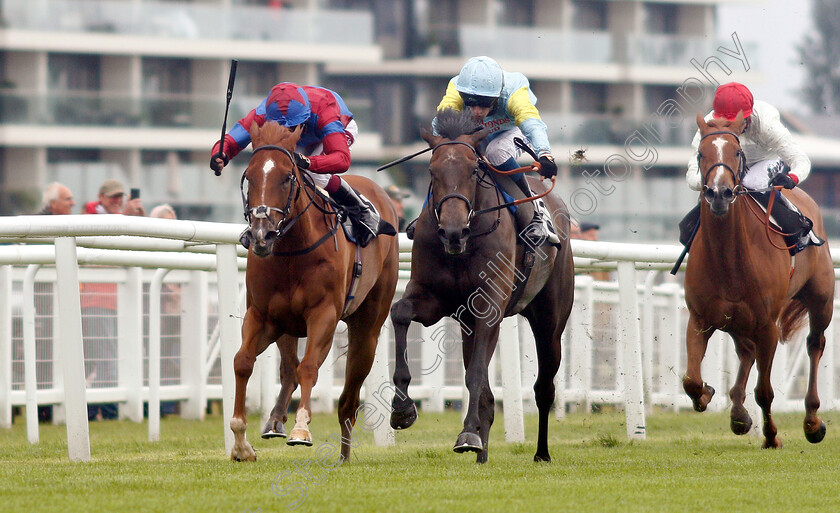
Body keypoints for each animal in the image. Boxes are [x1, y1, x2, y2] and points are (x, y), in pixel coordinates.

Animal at [228, 122, 398, 462]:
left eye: (287, 177)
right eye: (249, 176)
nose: (262, 235)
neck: (293, 251)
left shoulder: (324, 315)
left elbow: (308, 367)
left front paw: (301, 429)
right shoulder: (263, 316)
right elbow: (243, 361)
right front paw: (241, 442)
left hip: (368, 327)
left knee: (348, 395)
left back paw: (344, 453)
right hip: (287, 326)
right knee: (288, 369)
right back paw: (275, 421)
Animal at [388, 110, 576, 462]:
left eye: (474, 170)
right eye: (431, 170)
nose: (452, 231)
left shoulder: (489, 305)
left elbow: (476, 373)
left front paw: (466, 434)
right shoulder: (434, 298)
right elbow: (400, 312)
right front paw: (402, 408)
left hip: (550, 320)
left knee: (544, 388)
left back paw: (541, 453)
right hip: (468, 324)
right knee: (488, 395)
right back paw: (482, 454)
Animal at [684, 112, 832, 448]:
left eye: (737, 152)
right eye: (701, 153)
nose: (719, 193)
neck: (728, 258)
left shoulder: (768, 326)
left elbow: (765, 391)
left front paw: (772, 437)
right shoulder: (699, 319)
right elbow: (690, 381)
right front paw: (708, 394)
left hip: (821, 300)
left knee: (814, 344)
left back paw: (812, 421)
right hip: (736, 321)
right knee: (745, 352)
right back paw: (738, 413)